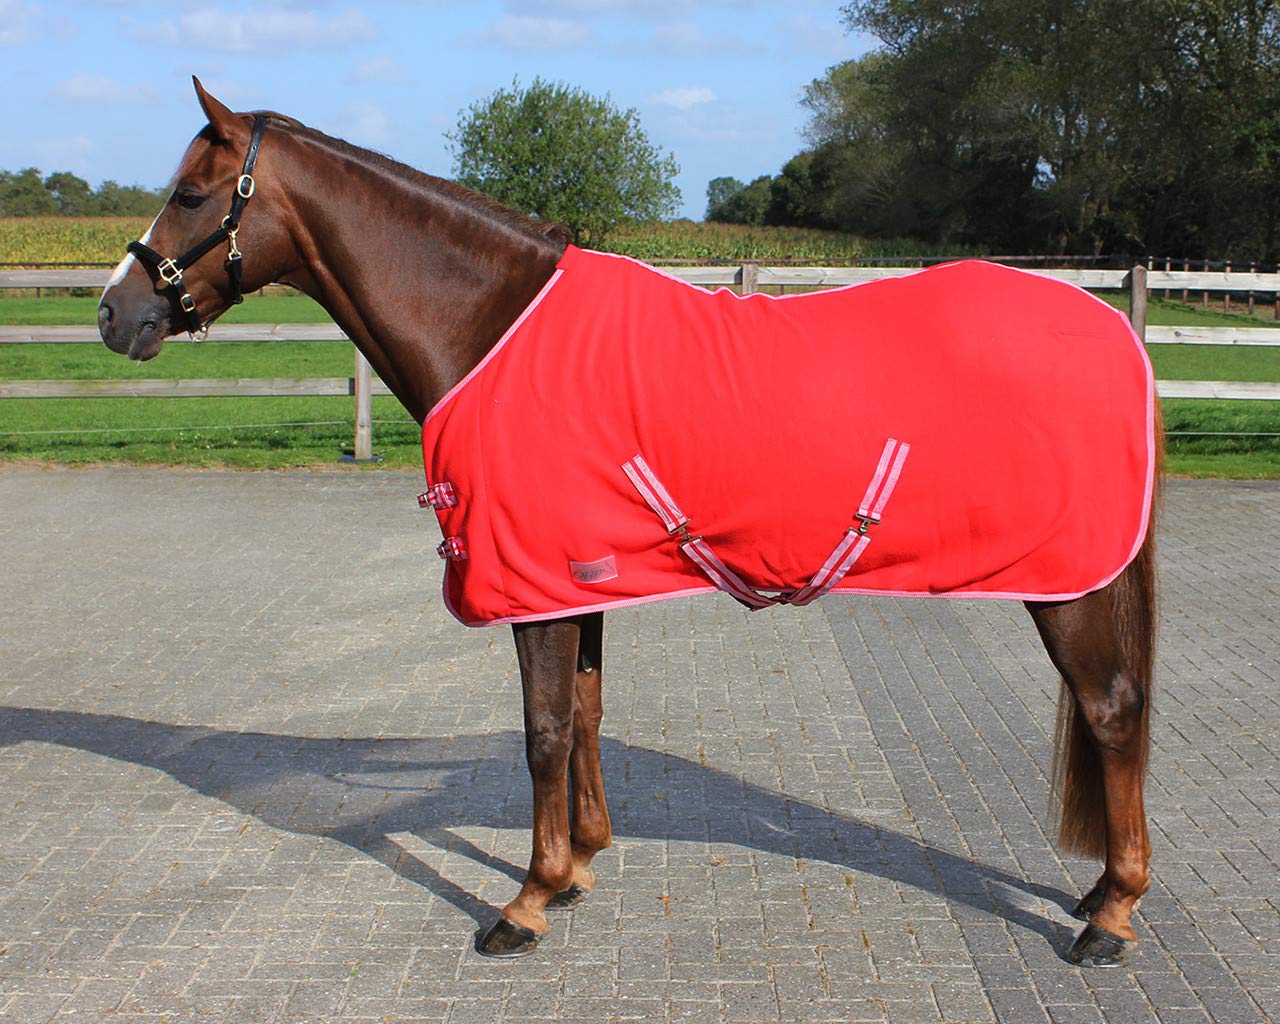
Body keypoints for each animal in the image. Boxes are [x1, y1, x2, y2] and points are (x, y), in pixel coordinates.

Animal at [98, 78, 1161, 967]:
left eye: (190, 194)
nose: (116, 314)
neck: (493, 325)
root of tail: (1114, 329)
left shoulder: (531, 584)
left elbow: (541, 729)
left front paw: (525, 902)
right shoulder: (577, 574)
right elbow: (586, 715)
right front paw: (576, 867)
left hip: (1067, 582)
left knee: (1111, 710)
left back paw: (1111, 916)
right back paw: (1099, 894)